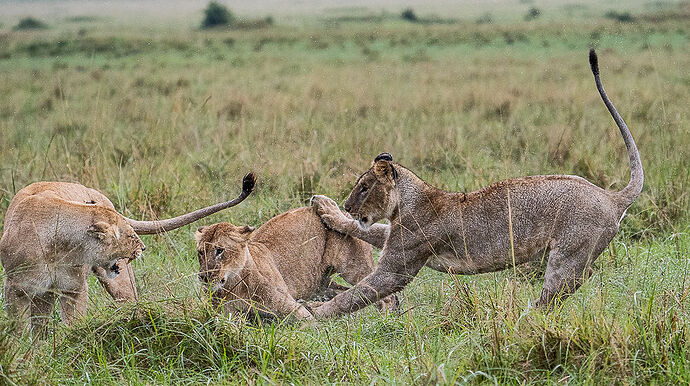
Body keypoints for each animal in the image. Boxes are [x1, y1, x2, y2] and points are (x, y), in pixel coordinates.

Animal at [1, 173, 254, 332]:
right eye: (131, 236)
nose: (143, 248)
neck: (58, 248)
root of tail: (100, 196)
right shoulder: (16, 289)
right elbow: (20, 332)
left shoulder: (74, 289)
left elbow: (72, 324)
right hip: (43, 295)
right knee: (40, 327)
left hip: (121, 284)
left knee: (130, 303)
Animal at [194, 208, 398, 320]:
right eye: (200, 252)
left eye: (219, 250)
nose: (203, 277)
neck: (233, 287)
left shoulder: (297, 313)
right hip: (321, 284)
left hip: (354, 268)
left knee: (382, 295)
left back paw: (385, 321)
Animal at [310, 49, 644, 316]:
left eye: (365, 187)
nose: (348, 205)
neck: (408, 199)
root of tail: (611, 197)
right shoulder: (394, 237)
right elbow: (364, 230)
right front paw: (326, 209)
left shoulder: (398, 266)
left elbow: (354, 296)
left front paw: (313, 315)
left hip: (568, 259)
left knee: (548, 301)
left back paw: (520, 321)